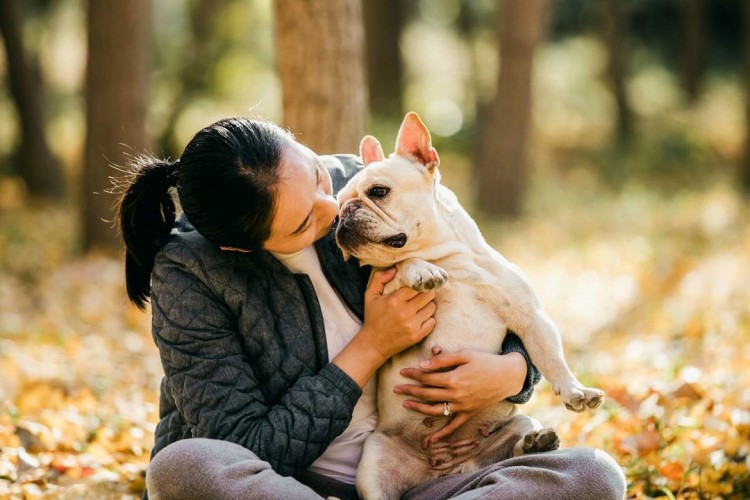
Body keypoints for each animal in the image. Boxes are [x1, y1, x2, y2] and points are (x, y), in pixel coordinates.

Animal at [334, 113, 604, 500]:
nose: (343, 213)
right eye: (338, 201)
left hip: (515, 422)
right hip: (373, 462)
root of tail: (448, 468)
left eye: (378, 192)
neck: (452, 260)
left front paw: (576, 391)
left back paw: (536, 443)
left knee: (514, 450)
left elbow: (552, 358)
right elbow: (401, 262)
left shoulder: (532, 320)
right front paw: (420, 270)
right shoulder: (382, 283)